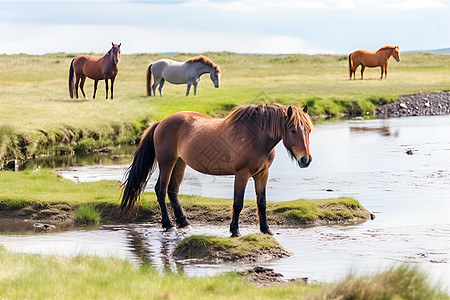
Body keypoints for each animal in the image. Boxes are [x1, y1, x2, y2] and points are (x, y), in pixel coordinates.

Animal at [118, 102, 312, 237]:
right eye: (293, 130)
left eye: (309, 130)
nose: (306, 159)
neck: (256, 138)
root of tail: (161, 123)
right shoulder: (242, 174)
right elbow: (238, 203)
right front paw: (235, 231)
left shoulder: (262, 174)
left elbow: (262, 202)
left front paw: (266, 229)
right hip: (167, 162)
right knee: (161, 189)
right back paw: (168, 224)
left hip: (180, 163)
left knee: (173, 191)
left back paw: (184, 221)